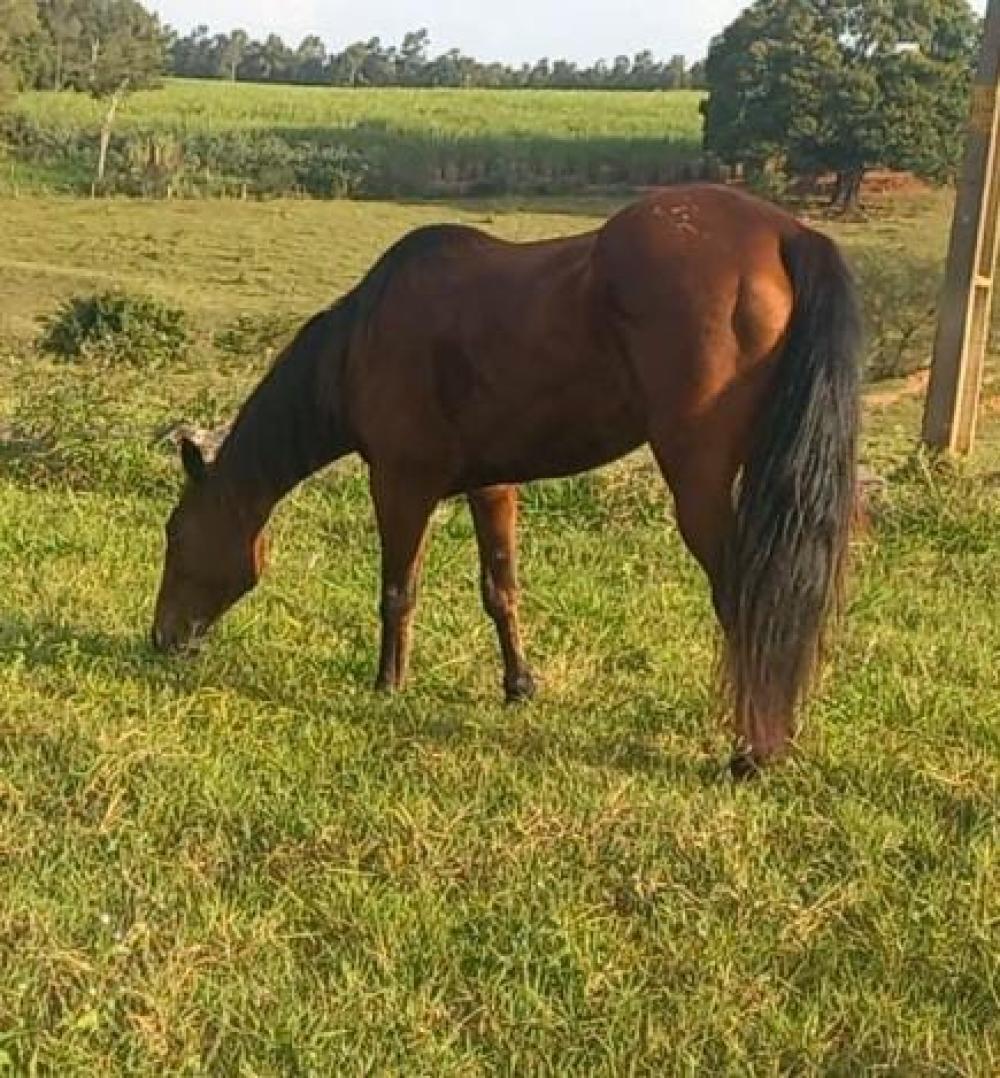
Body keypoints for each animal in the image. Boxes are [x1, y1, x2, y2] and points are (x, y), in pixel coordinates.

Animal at [151, 185, 861, 775]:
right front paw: (519, 686)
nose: (162, 641)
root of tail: (784, 233)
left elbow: (397, 593)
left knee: (745, 599)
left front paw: (388, 686)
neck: (363, 339)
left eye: (176, 536)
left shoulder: (400, 484)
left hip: (701, 483)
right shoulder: (490, 486)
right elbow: (501, 590)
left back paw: (752, 752)